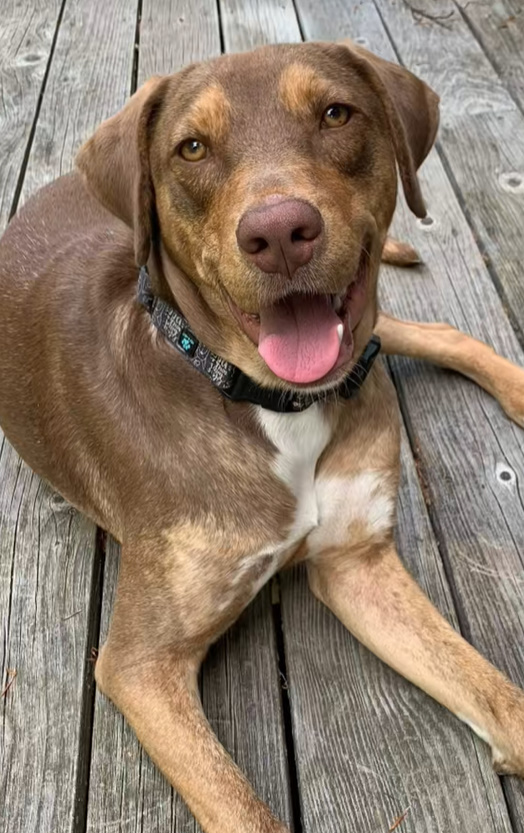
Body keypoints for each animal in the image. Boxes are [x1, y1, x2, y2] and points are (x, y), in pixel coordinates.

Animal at [1, 42, 524, 832]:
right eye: (191, 147)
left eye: (336, 113)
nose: (279, 234)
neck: (272, 404)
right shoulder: (140, 664)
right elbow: (243, 808)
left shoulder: (357, 562)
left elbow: (500, 698)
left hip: (371, 333)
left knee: (434, 330)